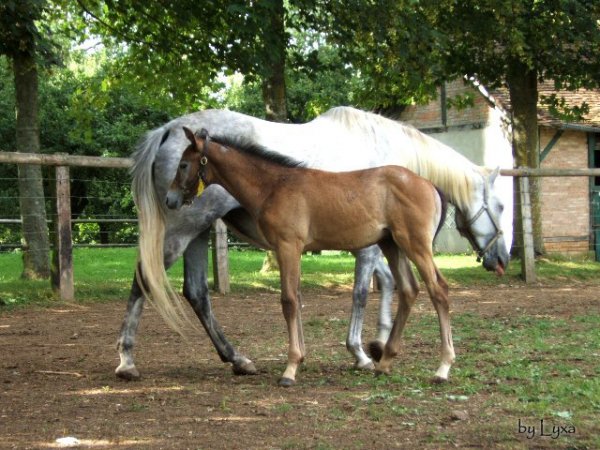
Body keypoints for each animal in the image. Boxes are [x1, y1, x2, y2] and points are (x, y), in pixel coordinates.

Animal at [115, 107, 512, 382]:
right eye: (501, 205)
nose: (502, 260)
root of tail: (165, 130)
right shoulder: (356, 247)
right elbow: (348, 293)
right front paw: (363, 351)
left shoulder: (350, 244)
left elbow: (365, 289)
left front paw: (370, 348)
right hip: (187, 227)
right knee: (147, 279)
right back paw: (127, 361)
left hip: (198, 230)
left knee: (194, 291)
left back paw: (237, 359)